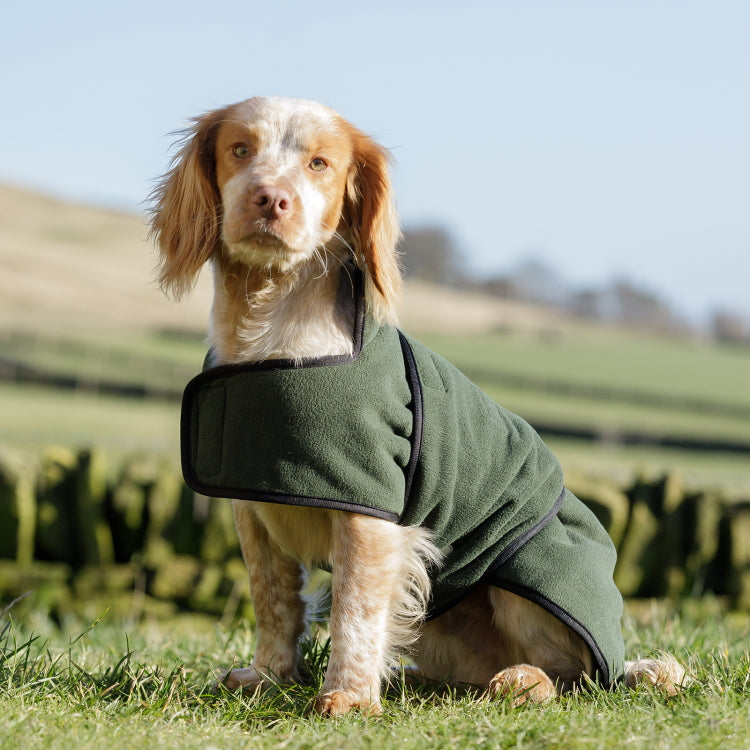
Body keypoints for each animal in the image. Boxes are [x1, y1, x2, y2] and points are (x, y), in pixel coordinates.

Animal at [150, 97, 692, 720]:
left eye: (319, 164)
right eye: (240, 150)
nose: (271, 198)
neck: (268, 336)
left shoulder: (372, 511)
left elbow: (354, 610)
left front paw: (348, 697)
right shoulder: (255, 511)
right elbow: (274, 604)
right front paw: (269, 677)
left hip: (522, 580)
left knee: (577, 674)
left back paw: (523, 680)